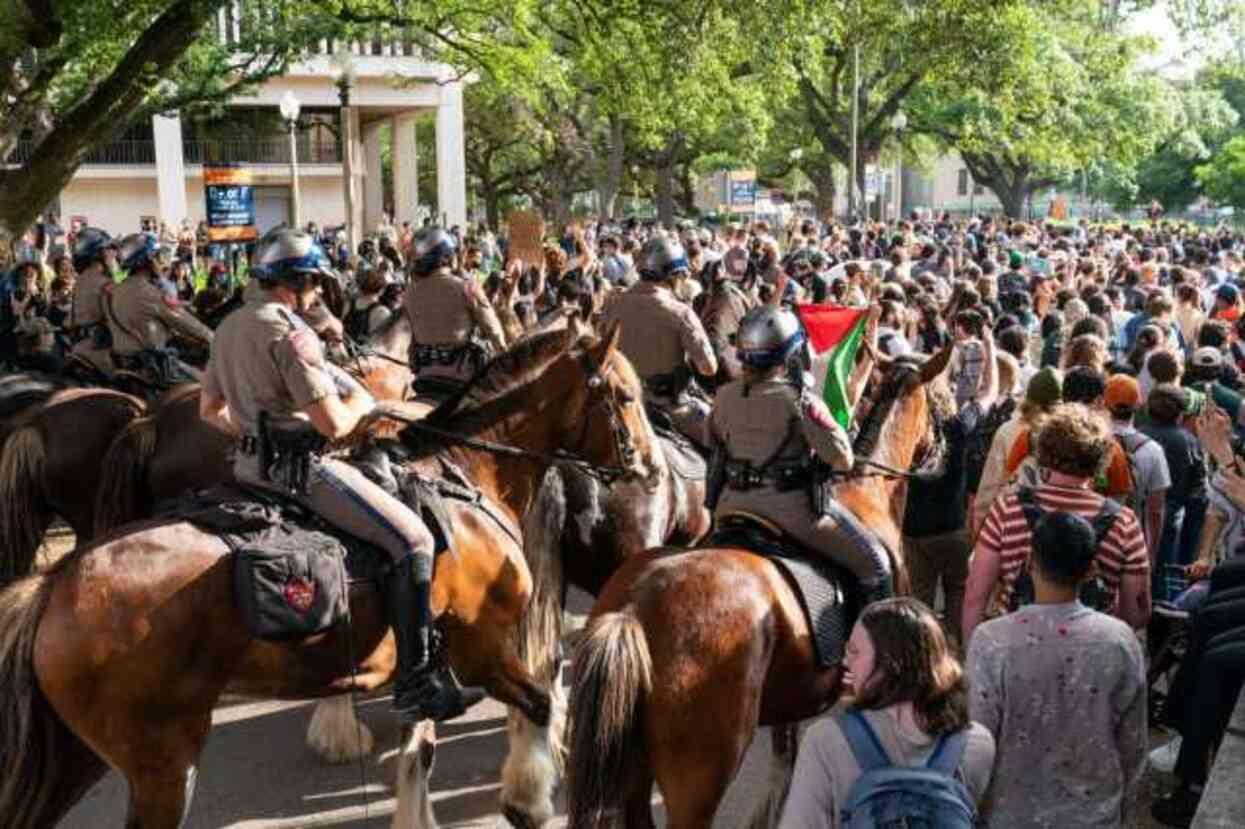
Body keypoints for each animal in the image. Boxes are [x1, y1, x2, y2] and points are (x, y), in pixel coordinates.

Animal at [0, 323, 657, 826]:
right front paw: (528, 795)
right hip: (162, 762)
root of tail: (54, 586)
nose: (649, 467)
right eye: (624, 396)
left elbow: (421, 751)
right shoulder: (483, 648)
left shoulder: (428, 659)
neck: (463, 472)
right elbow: (539, 706)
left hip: (75, 758)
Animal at [567, 351, 951, 826]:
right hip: (699, 777)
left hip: (634, 767)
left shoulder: (797, 693)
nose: (945, 451)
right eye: (942, 395)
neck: (867, 494)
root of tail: (634, 609)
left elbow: (785, 765)